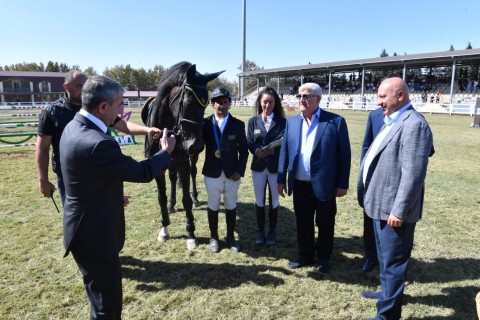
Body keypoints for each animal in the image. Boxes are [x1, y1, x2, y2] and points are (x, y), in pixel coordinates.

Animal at [143, 61, 224, 249]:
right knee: (173, 179)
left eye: (206, 104)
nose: (197, 146)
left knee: (193, 175)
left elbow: (186, 199)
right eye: (188, 101)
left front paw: (191, 234)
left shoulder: (183, 163)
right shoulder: (157, 168)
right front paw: (164, 229)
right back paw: (172, 205)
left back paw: (195, 199)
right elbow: (161, 197)